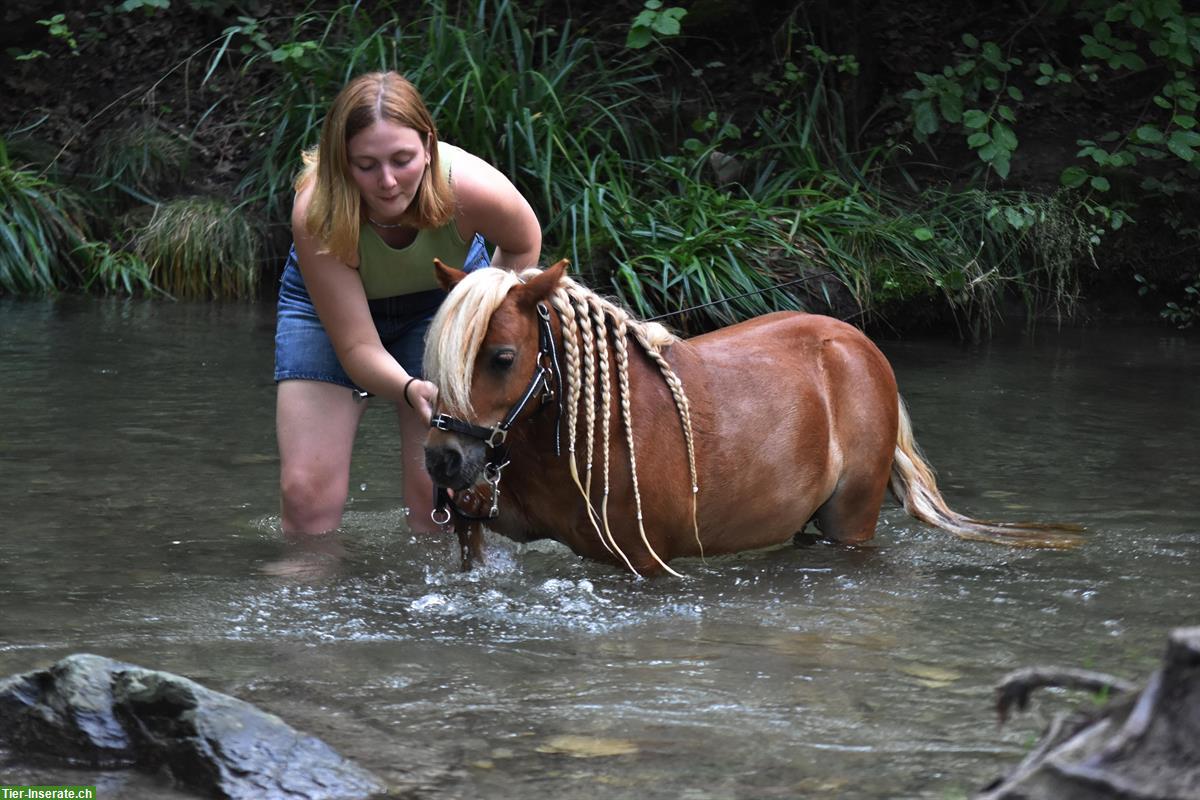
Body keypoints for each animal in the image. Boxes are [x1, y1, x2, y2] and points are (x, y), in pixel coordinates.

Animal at [420, 260, 1080, 578]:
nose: (442, 458)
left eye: (503, 358)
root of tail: (860, 345)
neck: (592, 433)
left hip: (851, 522)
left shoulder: (644, 564)